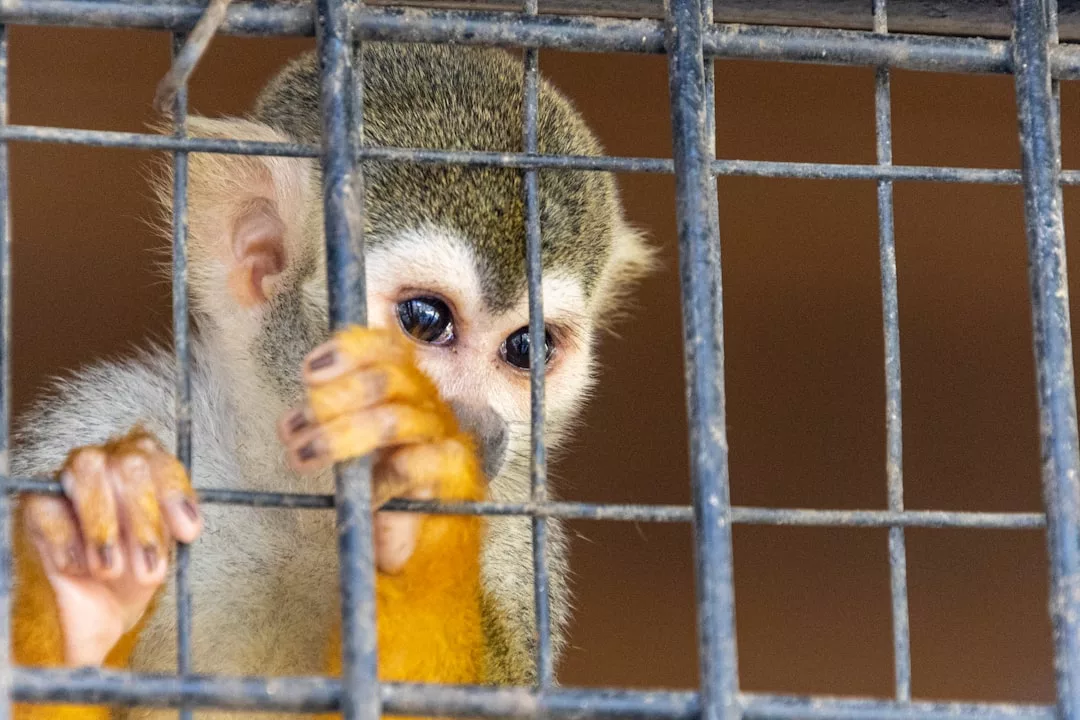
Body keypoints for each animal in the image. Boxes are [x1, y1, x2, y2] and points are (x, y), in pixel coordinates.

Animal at [9, 41, 654, 720]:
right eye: (425, 319)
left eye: (528, 347)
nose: (478, 431)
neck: (298, 489)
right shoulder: (101, 418)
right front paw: (85, 590)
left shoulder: (515, 529)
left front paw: (426, 515)